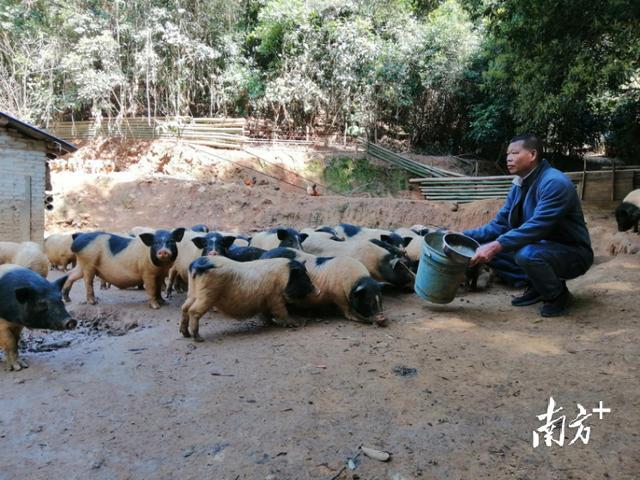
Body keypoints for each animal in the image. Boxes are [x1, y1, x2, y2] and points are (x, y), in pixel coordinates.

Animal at [180, 256, 316, 340]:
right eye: (303, 276)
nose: (316, 289)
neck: (284, 277)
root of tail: (196, 265)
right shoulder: (275, 298)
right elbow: (281, 312)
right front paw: (295, 324)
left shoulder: (266, 301)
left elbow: (267, 314)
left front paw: (271, 323)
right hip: (207, 295)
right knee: (193, 311)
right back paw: (198, 338)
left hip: (192, 293)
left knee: (184, 308)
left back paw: (186, 334)